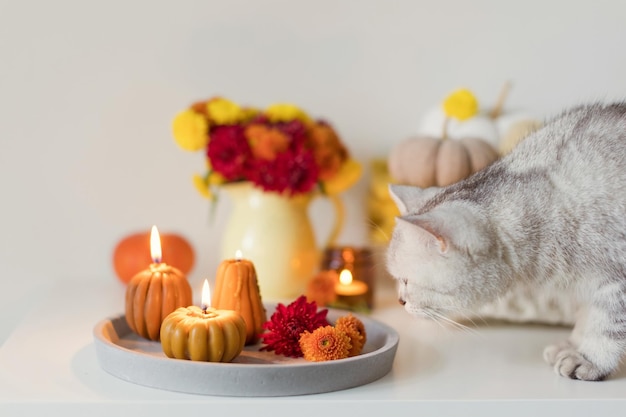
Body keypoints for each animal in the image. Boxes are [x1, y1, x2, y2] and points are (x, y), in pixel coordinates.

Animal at [386, 102, 624, 378]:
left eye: (406, 280)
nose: (399, 300)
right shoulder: (587, 288)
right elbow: (586, 318)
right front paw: (573, 344)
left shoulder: (616, 278)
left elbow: (606, 327)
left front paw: (589, 359)